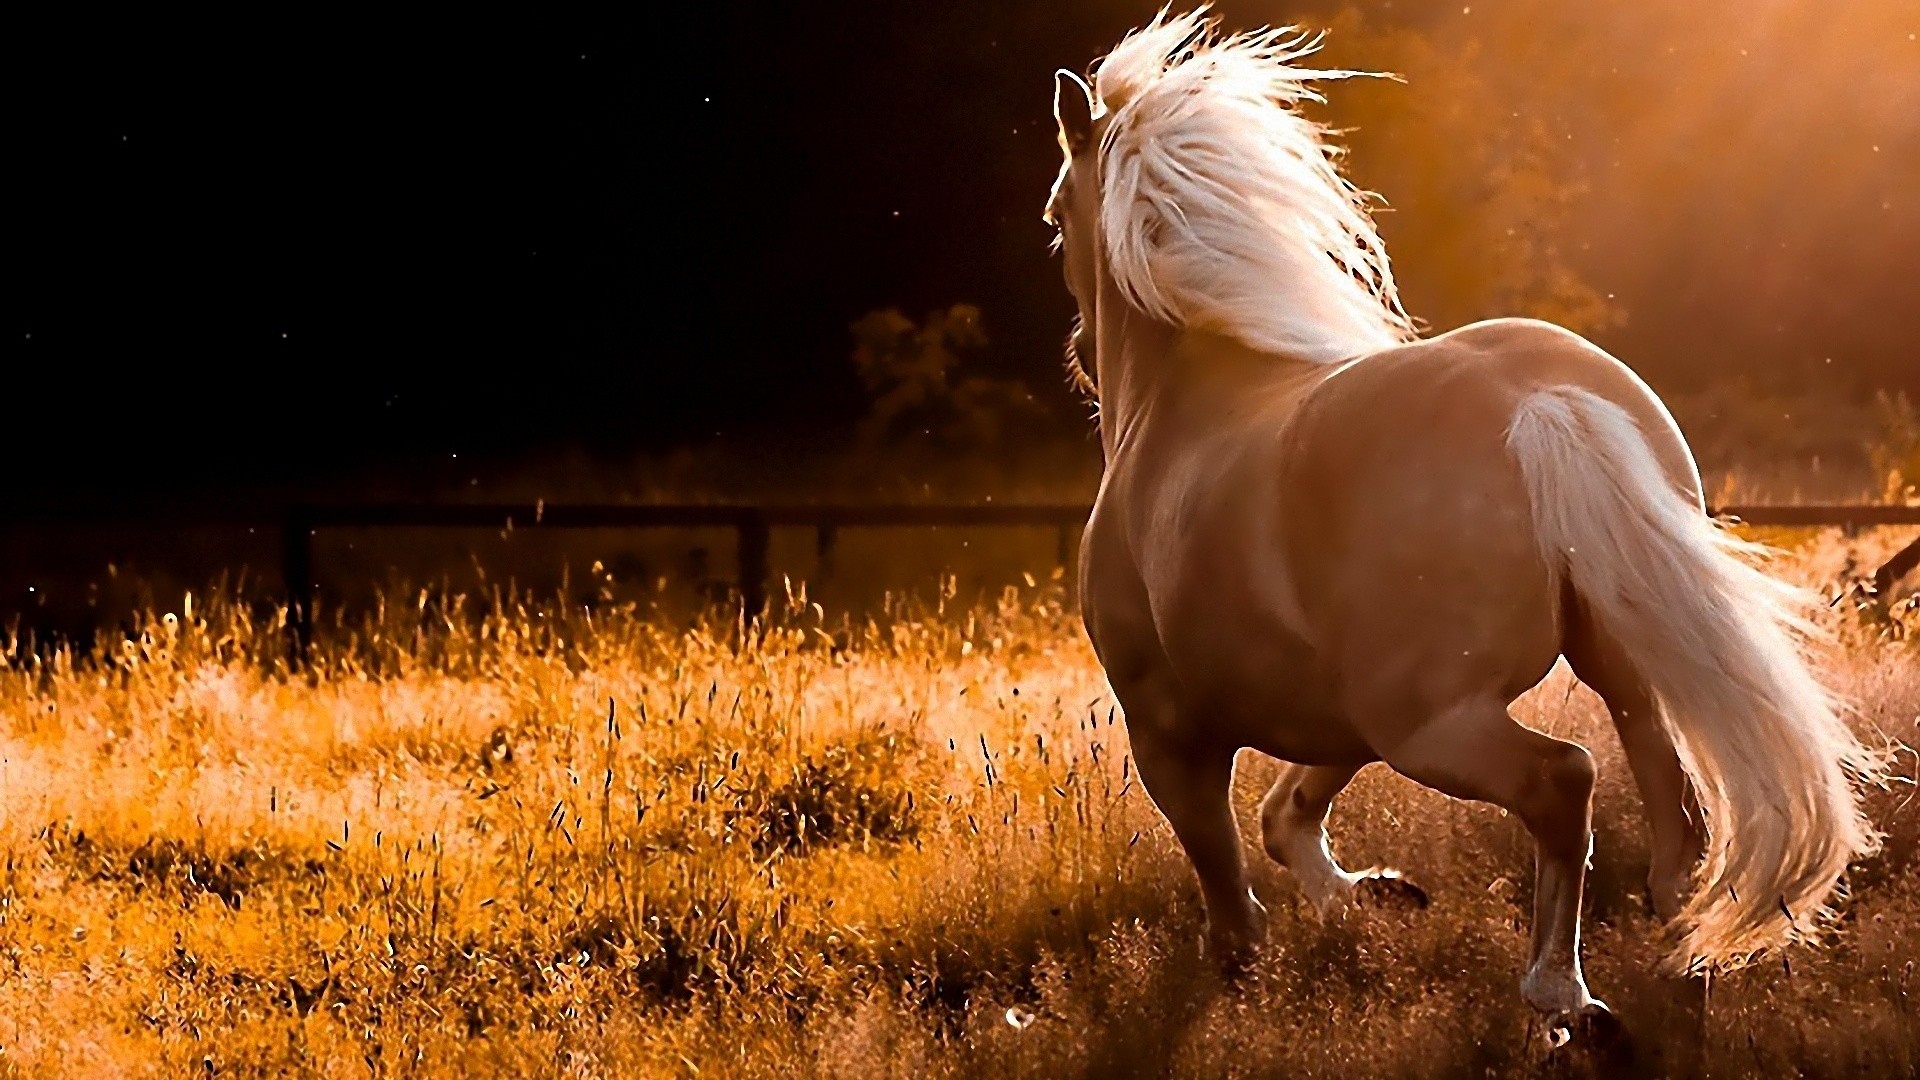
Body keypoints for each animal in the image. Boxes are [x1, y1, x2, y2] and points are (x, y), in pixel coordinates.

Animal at [1044, 9, 1880, 1028]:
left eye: (1056, 216)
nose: (1079, 355)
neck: (1177, 404)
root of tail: (1540, 403)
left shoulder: (1169, 729)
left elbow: (1226, 879)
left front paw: (1243, 975)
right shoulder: (1334, 713)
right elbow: (1286, 818)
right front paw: (1373, 896)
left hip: (1433, 725)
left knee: (1564, 781)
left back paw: (1564, 996)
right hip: (1598, 669)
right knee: (1670, 798)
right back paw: (1681, 950)